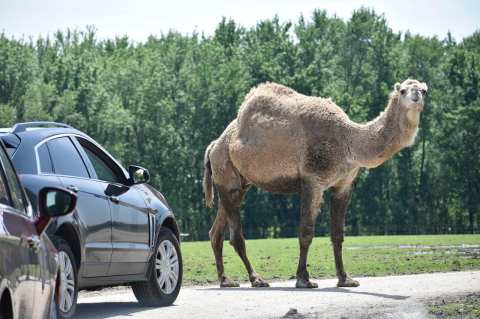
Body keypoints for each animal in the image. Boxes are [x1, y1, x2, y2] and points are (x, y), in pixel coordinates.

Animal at [202, 79, 428, 290]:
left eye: (424, 90)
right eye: (403, 90)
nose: (416, 95)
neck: (350, 141)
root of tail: (214, 145)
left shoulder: (343, 185)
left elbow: (337, 234)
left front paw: (345, 279)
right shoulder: (313, 180)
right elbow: (306, 231)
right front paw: (304, 279)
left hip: (239, 184)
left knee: (216, 232)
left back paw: (226, 280)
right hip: (226, 174)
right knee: (236, 236)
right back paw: (256, 279)